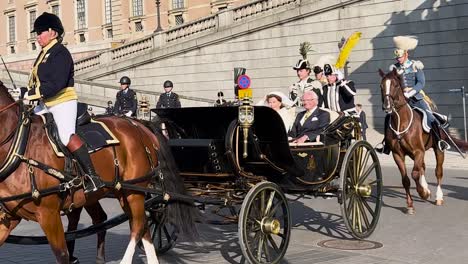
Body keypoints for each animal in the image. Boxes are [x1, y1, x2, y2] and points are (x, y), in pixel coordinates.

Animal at [0, 81, 197, 262]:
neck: (19, 144)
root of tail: (139, 123)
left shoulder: (49, 215)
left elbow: (62, 254)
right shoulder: (9, 216)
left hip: (134, 190)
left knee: (139, 224)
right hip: (116, 192)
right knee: (139, 225)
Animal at [378, 68, 466, 214]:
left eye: (395, 85)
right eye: (381, 85)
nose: (387, 106)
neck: (400, 122)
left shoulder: (418, 151)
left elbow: (414, 174)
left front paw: (423, 193)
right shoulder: (398, 155)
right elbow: (406, 179)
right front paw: (410, 204)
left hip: (438, 150)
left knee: (438, 172)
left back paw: (438, 197)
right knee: (422, 168)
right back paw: (426, 188)